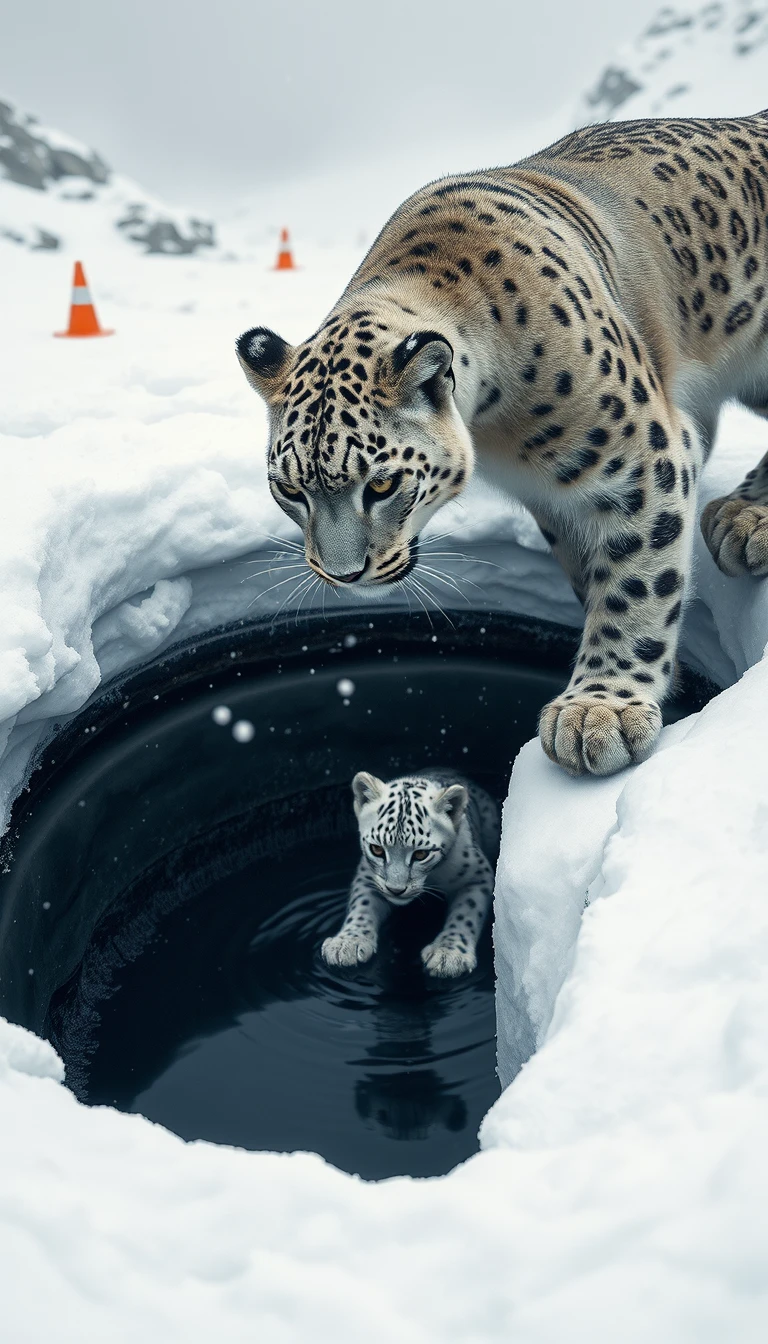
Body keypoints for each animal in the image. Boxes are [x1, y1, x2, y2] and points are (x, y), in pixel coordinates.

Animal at [237, 110, 768, 777]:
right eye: (289, 490)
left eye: (382, 483)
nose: (344, 575)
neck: (499, 432)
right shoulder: (554, 497)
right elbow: (594, 568)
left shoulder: (642, 457)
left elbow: (639, 579)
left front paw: (599, 709)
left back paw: (747, 518)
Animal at [321, 768, 499, 978]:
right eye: (377, 849)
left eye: (421, 853)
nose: (395, 890)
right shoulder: (367, 875)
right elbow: (362, 905)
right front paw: (347, 943)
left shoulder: (477, 874)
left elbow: (466, 912)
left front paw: (448, 954)